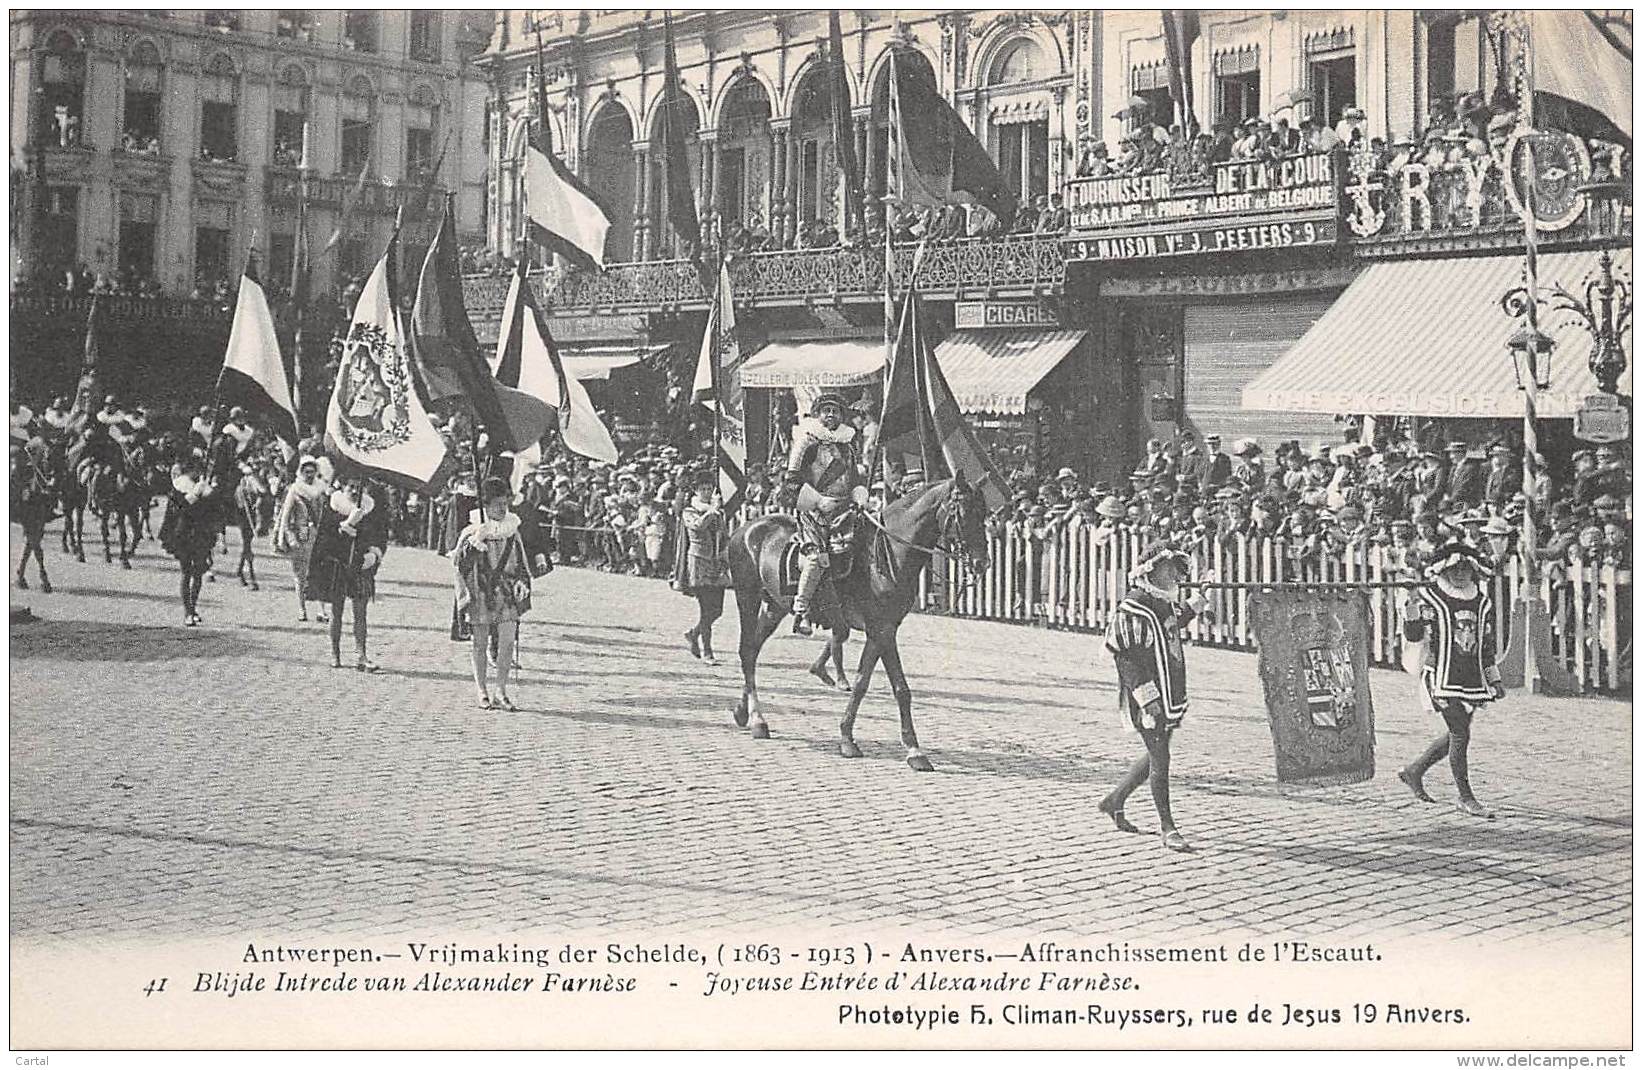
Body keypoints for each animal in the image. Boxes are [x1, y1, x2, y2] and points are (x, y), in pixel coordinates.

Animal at [729, 475, 985, 768]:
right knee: (746, 651)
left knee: (752, 651)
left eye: (983, 512)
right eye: (963, 512)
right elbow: (901, 688)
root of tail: (745, 529)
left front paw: (847, 738)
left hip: (774, 608)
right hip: (747, 598)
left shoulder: (881, 631)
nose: (983, 563)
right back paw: (758, 720)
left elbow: (862, 683)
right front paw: (914, 750)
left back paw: (744, 712)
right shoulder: (883, 630)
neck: (887, 554)